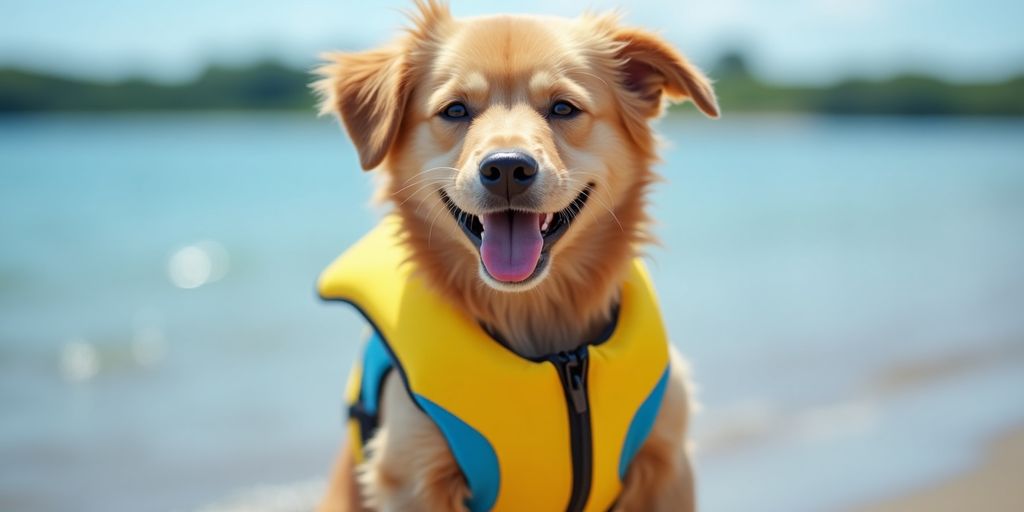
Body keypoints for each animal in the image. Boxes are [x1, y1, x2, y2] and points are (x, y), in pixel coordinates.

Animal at [313, 2, 720, 509]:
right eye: (455, 109)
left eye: (563, 107)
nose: (507, 168)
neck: (536, 317)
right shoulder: (411, 476)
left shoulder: (667, 463)